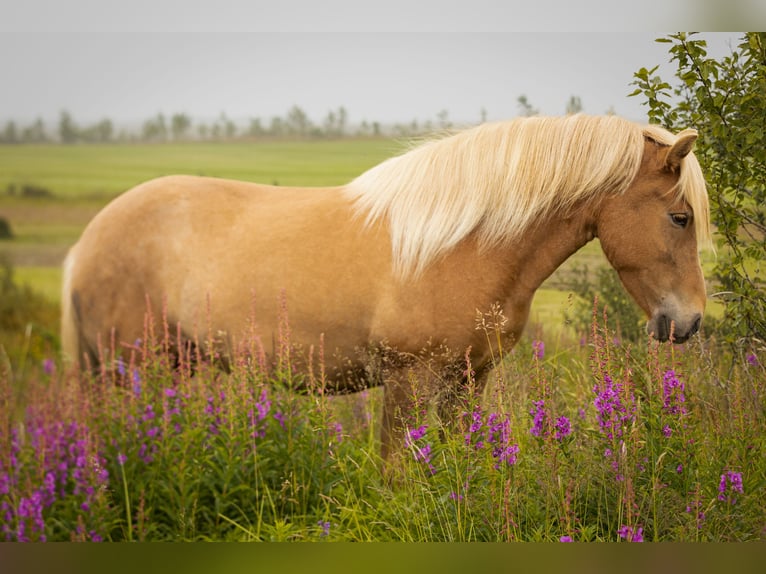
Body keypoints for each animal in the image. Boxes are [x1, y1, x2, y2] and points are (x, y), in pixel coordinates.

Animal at [61, 114, 711, 462]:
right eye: (680, 217)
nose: (689, 323)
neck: (462, 243)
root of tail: (86, 243)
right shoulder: (409, 382)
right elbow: (397, 472)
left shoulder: (466, 382)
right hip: (133, 369)